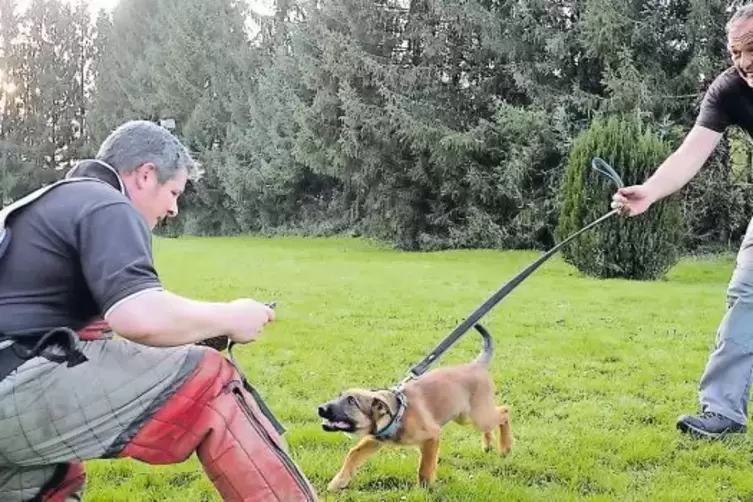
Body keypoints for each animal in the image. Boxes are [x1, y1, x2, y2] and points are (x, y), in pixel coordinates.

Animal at [314, 324, 516, 492]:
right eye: (340, 396)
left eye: (351, 401)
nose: (320, 409)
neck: (397, 416)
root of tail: (476, 365)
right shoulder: (374, 440)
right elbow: (353, 454)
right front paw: (338, 482)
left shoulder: (432, 436)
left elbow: (424, 467)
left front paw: (425, 489)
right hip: (466, 416)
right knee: (493, 419)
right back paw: (488, 444)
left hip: (478, 415)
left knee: (505, 411)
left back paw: (505, 447)